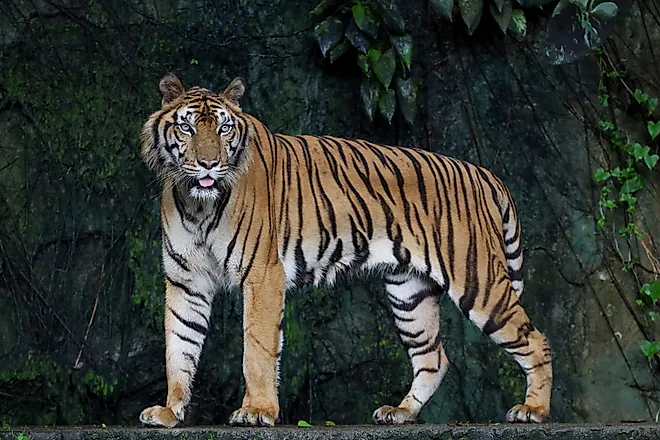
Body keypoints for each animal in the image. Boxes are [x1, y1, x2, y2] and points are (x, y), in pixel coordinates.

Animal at [138, 73, 552, 428]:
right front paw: (170, 411)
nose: (209, 164)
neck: (198, 204)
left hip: (478, 281)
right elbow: (179, 346)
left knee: (536, 340)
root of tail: (483, 174)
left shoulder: (262, 274)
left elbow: (256, 348)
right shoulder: (185, 280)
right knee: (433, 357)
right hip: (409, 293)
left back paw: (533, 409)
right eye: (188, 127)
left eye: (224, 128)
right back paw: (400, 412)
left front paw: (257, 411)